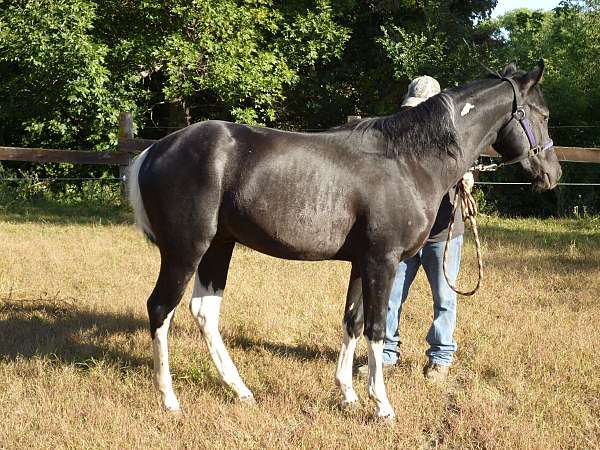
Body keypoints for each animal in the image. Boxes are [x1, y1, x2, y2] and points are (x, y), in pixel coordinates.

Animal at [129, 60, 560, 418]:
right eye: (542, 115)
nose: (552, 173)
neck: (408, 161)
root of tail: (153, 150)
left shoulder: (361, 262)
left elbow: (352, 323)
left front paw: (348, 395)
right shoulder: (383, 261)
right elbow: (376, 327)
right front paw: (381, 405)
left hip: (219, 246)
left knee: (204, 312)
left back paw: (241, 391)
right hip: (186, 251)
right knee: (160, 308)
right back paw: (170, 399)